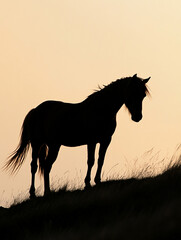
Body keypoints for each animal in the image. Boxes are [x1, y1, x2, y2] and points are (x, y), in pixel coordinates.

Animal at [4, 74, 151, 198]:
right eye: (133, 93)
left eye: (143, 95)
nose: (137, 117)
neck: (101, 109)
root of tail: (35, 110)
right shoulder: (91, 141)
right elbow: (91, 161)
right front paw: (87, 183)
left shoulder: (106, 140)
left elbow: (101, 160)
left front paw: (98, 181)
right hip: (38, 144)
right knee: (35, 166)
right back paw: (34, 193)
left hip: (51, 145)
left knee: (46, 165)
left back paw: (47, 192)